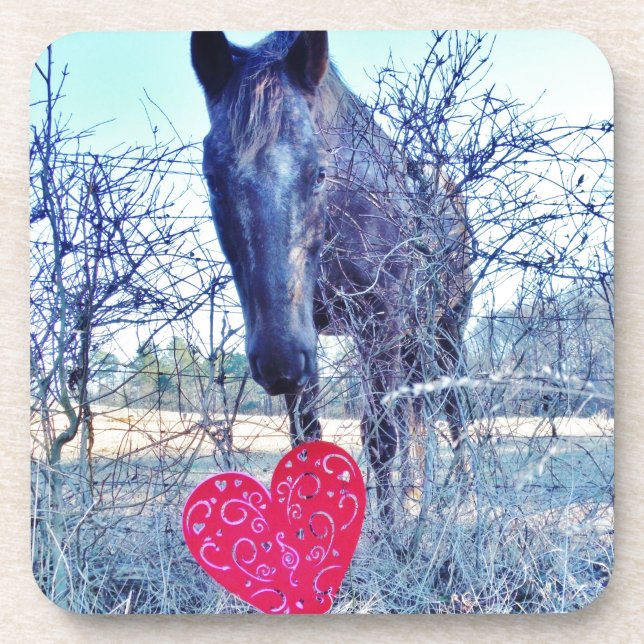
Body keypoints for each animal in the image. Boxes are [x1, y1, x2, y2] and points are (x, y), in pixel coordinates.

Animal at [190, 31, 473, 520]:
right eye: (212, 178)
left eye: (320, 172)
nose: (277, 360)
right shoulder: (308, 344)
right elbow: (306, 442)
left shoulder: (379, 326)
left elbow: (381, 438)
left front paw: (391, 532)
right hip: (413, 341)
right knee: (419, 417)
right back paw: (417, 496)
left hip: (446, 332)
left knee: (454, 412)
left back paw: (470, 502)